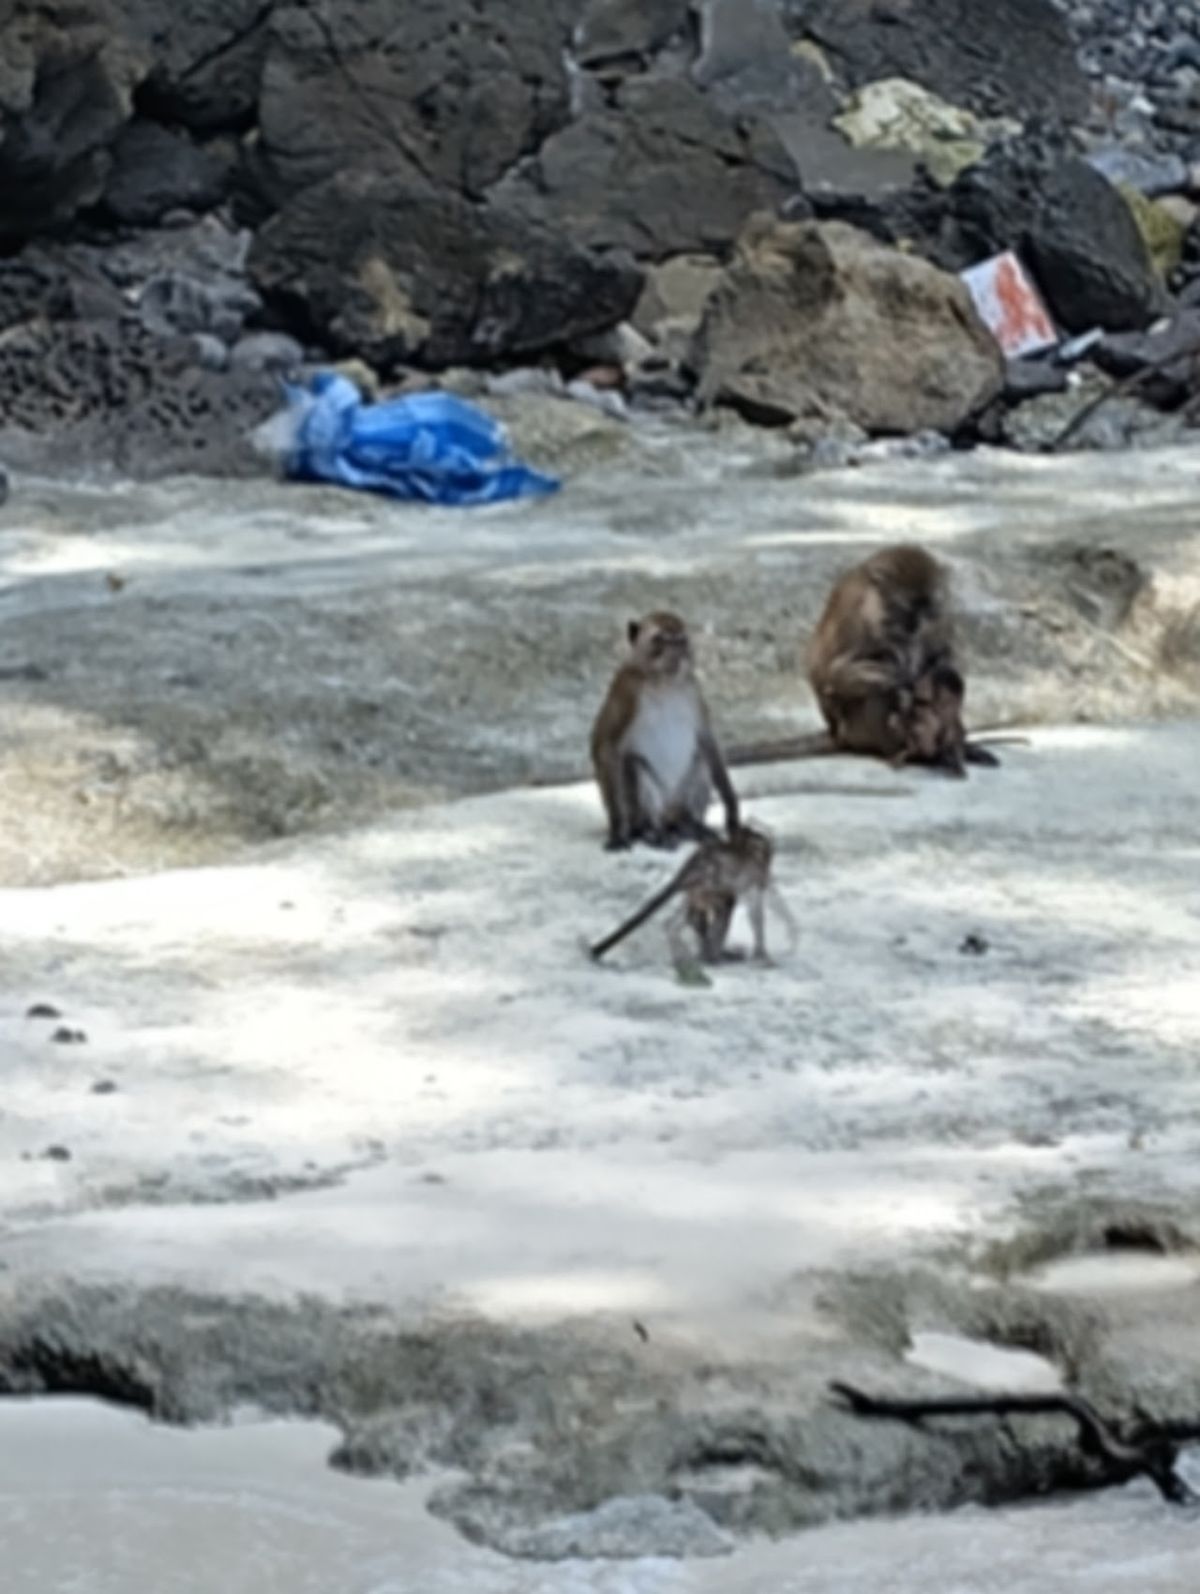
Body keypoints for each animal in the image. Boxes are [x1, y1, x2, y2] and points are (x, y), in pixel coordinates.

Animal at [589, 611, 740, 851]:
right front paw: (618, 830)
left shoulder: (692, 687)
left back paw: (691, 825)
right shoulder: (626, 689)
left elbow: (707, 739)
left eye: (680, 641)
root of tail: (669, 816)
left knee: (701, 758)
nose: (676, 655)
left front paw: (731, 804)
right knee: (635, 765)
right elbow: (605, 744)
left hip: (677, 803)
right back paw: (653, 831)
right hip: (647, 809)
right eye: (660, 640)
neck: (662, 682)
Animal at [589, 822, 796, 970]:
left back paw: (692, 947)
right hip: (710, 884)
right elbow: (756, 912)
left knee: (686, 916)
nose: (768, 855)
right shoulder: (753, 875)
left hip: (698, 889)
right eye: (761, 845)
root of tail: (689, 869)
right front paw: (762, 954)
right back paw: (711, 955)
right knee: (722, 905)